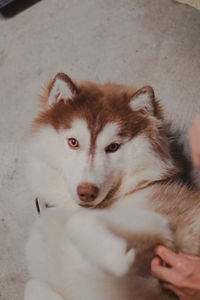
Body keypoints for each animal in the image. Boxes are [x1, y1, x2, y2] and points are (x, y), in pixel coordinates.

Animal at [24, 73, 200, 300]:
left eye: (113, 147)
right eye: (73, 142)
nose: (87, 192)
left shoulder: (173, 231)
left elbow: (78, 220)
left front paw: (114, 255)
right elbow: (32, 285)